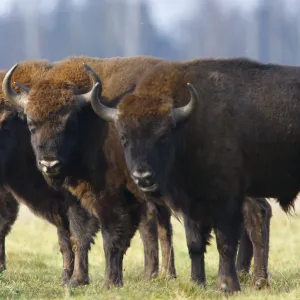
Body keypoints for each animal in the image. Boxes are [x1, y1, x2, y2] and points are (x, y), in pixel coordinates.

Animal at [4, 55, 272, 288]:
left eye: (69, 122)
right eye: (31, 123)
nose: (49, 164)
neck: (90, 117)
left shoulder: (103, 197)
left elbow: (102, 237)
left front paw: (95, 281)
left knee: (256, 214)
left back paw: (256, 279)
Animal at [88, 57, 298, 292]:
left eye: (163, 135)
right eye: (124, 137)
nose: (142, 176)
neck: (188, 127)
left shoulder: (226, 200)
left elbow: (225, 243)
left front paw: (226, 285)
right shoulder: (190, 203)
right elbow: (194, 244)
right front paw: (197, 282)